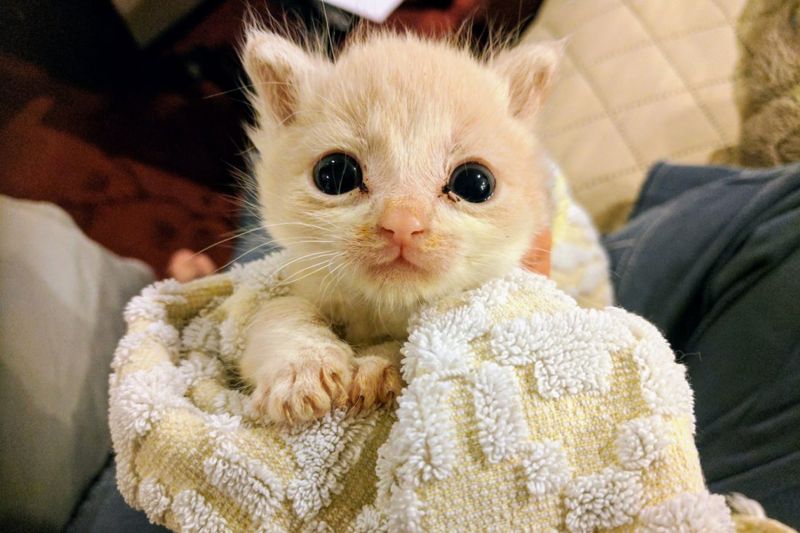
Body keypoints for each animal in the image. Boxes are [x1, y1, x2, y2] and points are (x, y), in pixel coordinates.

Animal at [241, 29, 560, 426]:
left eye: (475, 183)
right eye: (333, 174)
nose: (403, 223)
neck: (383, 309)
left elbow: (411, 345)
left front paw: (379, 367)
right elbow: (280, 310)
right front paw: (302, 369)